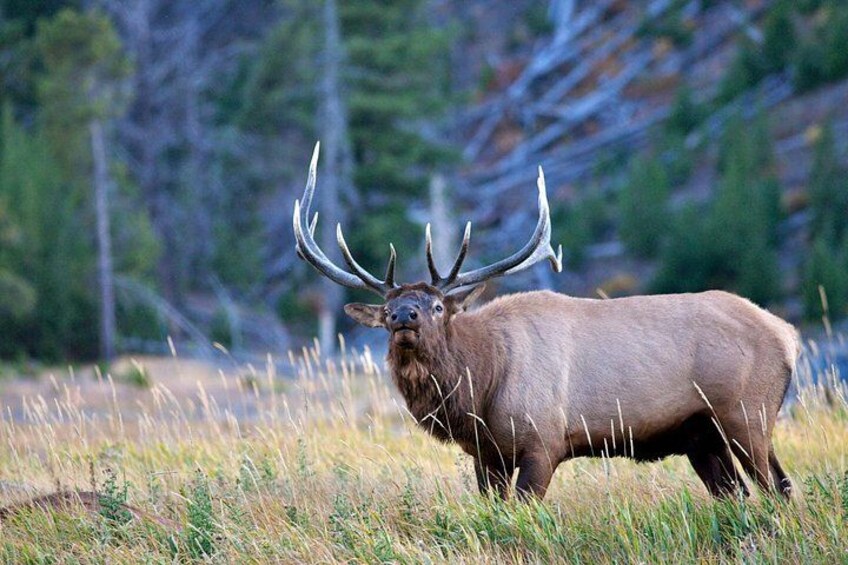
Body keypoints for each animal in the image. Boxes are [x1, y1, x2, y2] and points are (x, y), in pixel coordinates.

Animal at [293, 143, 799, 501]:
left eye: (438, 306)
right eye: (387, 309)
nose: (403, 315)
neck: (481, 385)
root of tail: (788, 335)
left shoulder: (543, 441)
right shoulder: (488, 456)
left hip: (747, 413)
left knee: (778, 486)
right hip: (702, 436)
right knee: (739, 495)